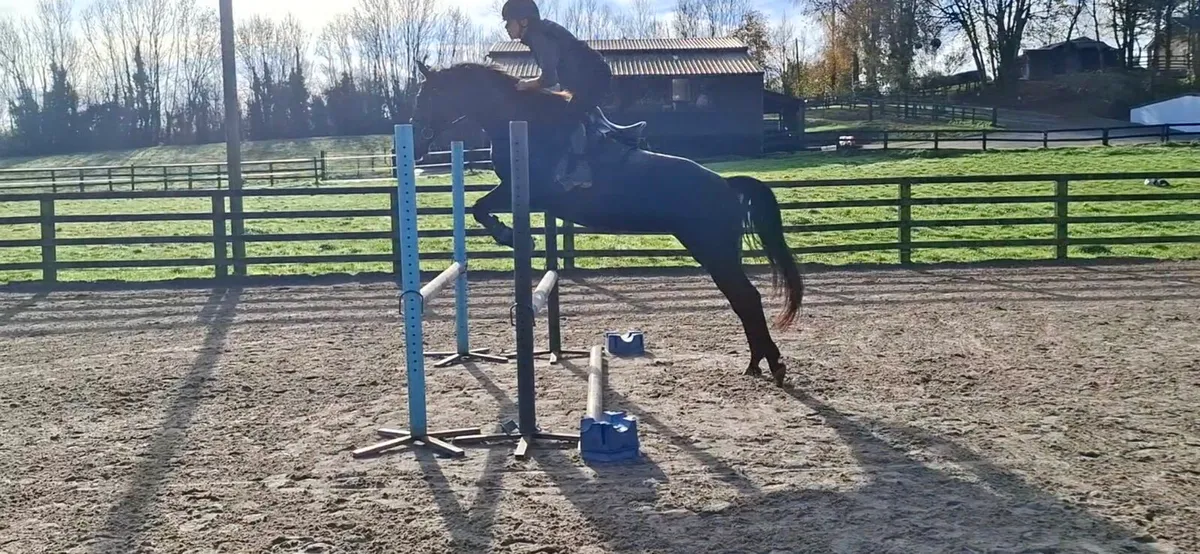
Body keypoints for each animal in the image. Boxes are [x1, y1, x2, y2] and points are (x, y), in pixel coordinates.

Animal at [409, 61, 804, 387]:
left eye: (430, 96)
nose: (415, 145)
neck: (526, 122)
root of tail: (725, 184)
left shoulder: (524, 193)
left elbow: (479, 208)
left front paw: (509, 235)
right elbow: (478, 208)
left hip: (714, 252)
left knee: (747, 298)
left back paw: (771, 364)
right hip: (716, 253)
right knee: (743, 301)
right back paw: (757, 364)